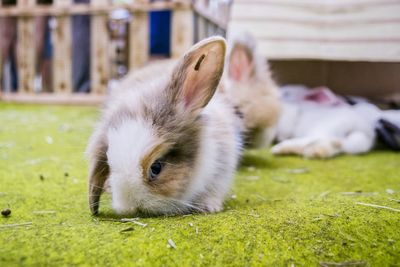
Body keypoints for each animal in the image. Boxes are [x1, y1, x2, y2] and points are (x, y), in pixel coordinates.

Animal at [272, 86, 400, 159]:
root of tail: (363, 131)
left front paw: (279, 138)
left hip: (323, 128)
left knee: (317, 139)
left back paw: (279, 149)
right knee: (332, 146)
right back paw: (314, 152)